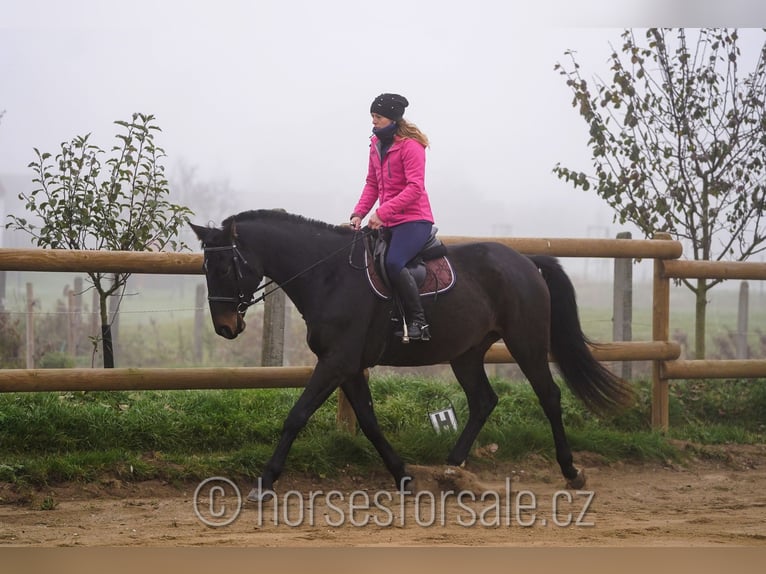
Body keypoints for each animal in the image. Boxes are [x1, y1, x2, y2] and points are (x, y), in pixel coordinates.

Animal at [189, 209, 632, 502]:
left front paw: (264, 483)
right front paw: (403, 476)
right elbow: (369, 422)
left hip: (526, 344)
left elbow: (296, 416)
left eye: (225, 266)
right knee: (483, 400)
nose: (225, 327)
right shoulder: (349, 367)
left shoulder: (336, 362)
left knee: (549, 396)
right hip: (466, 353)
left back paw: (571, 471)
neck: (328, 275)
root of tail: (525, 260)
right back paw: (451, 471)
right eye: (206, 267)